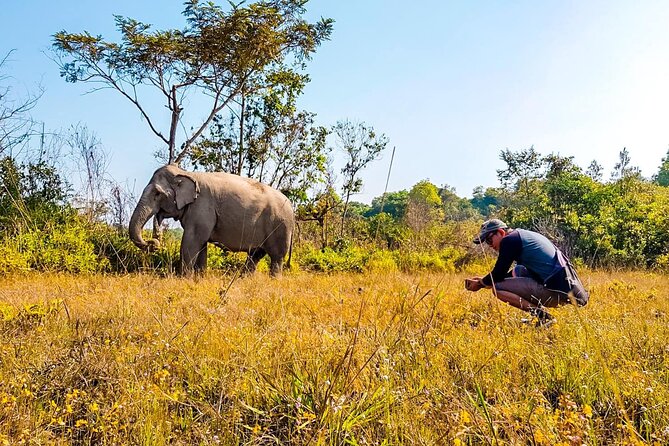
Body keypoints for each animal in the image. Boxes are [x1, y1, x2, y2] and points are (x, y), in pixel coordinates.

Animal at [129, 164, 294, 276]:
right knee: (255, 255)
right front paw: (199, 278)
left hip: (281, 226)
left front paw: (184, 279)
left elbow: (192, 240)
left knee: (277, 257)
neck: (185, 173)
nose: (154, 241)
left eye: (157, 193)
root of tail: (292, 207)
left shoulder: (202, 208)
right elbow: (201, 244)